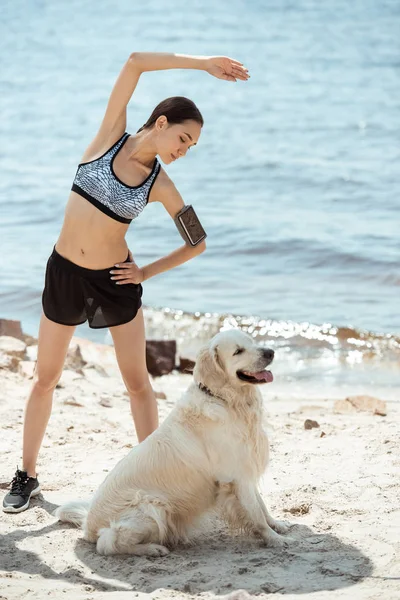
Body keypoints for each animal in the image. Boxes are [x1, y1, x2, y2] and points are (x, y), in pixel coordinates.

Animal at [54, 330, 292, 556]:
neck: (227, 400)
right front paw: (275, 540)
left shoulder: (246, 467)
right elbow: (256, 514)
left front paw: (277, 525)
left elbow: (262, 506)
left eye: (252, 341)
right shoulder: (236, 475)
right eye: (238, 351)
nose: (270, 352)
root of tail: (88, 525)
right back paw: (152, 549)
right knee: (108, 543)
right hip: (152, 507)